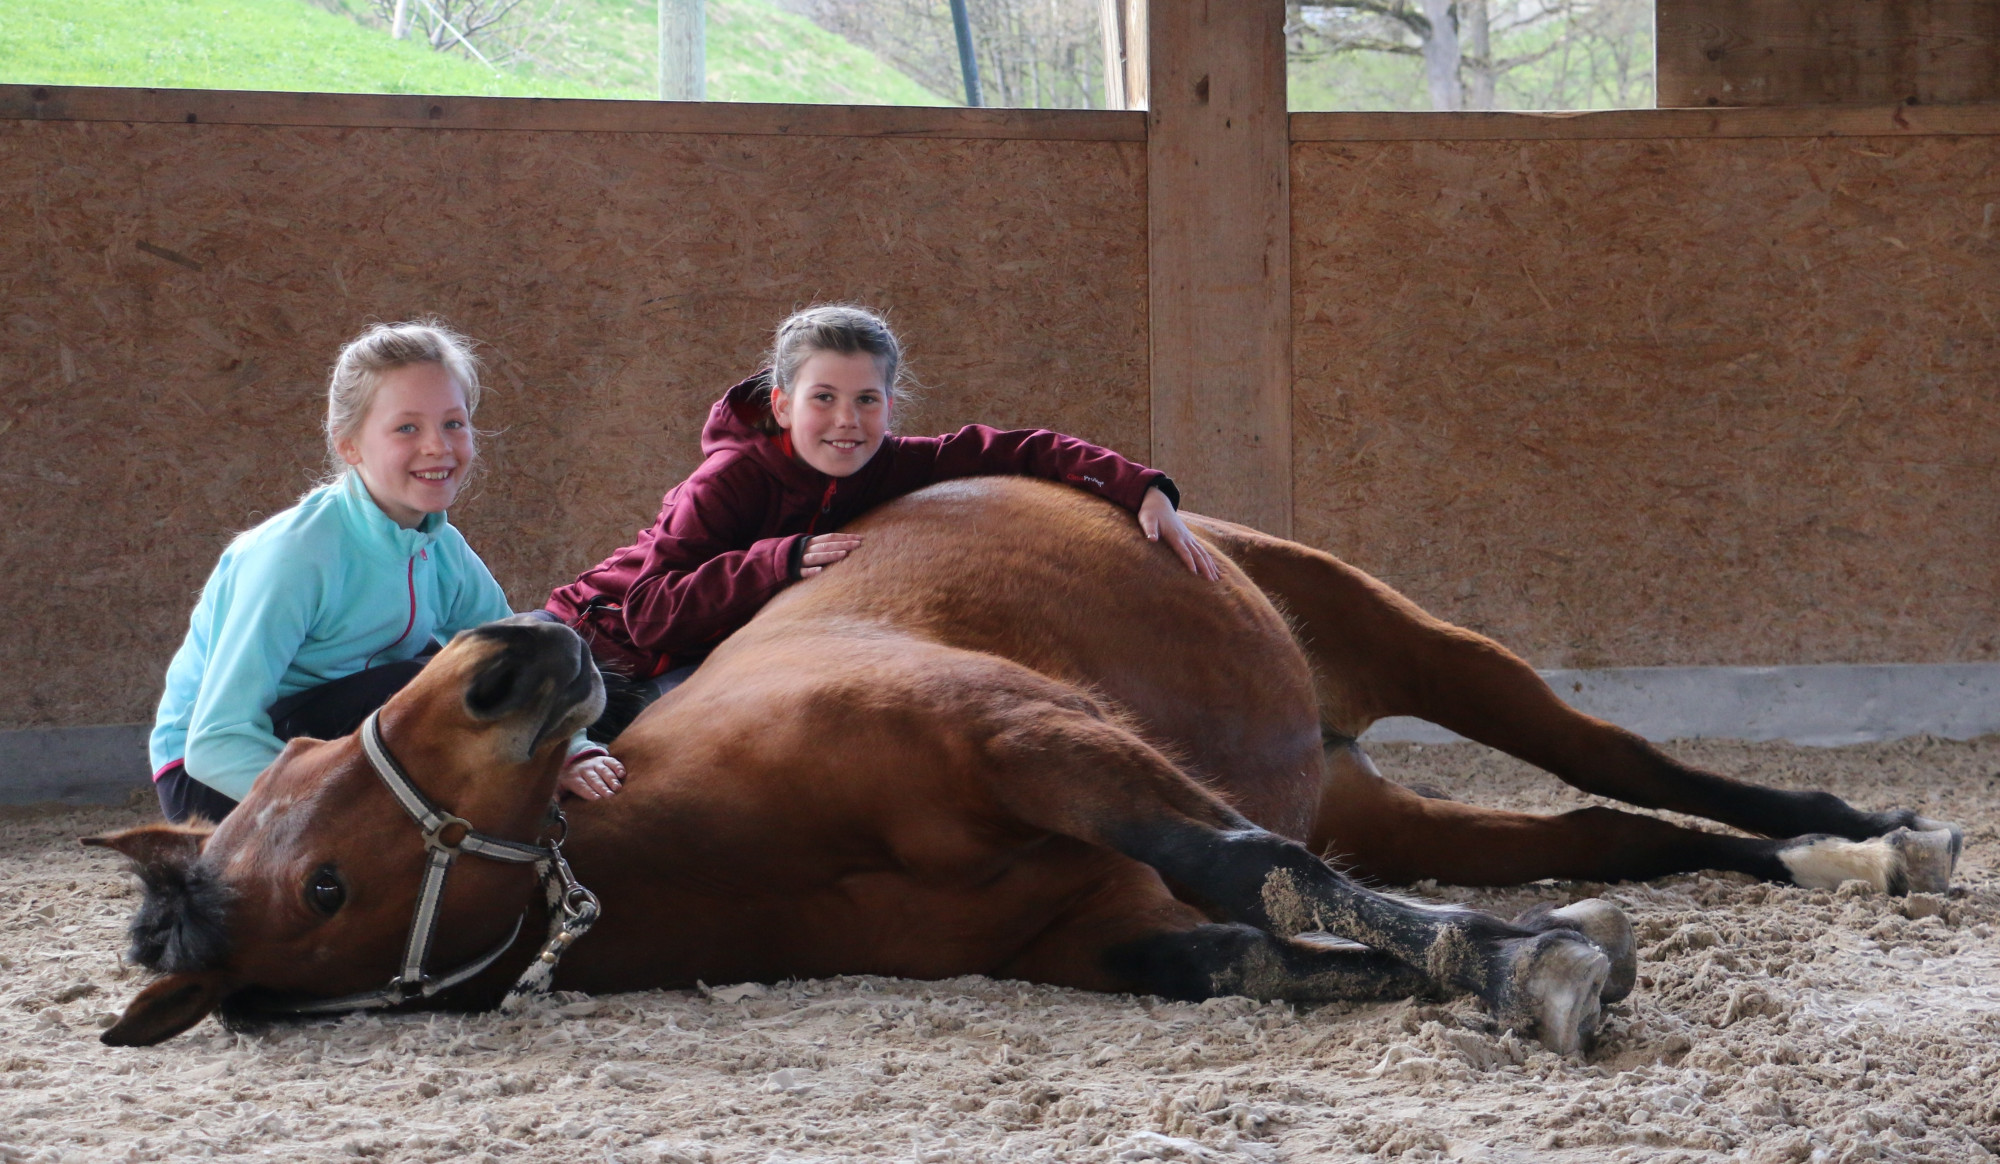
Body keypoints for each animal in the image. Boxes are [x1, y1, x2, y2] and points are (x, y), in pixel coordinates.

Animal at [86, 477, 1959, 1052]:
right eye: (321, 875)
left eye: (318, 759)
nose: (510, 655)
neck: (748, 828)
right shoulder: (1095, 934)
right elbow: (1274, 951)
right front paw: (1518, 959)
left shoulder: (1035, 740)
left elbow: (1252, 871)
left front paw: (1538, 965)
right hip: (1371, 785)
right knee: (1602, 818)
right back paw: (1819, 862)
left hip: (1414, 645)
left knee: (1611, 753)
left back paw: (1860, 833)